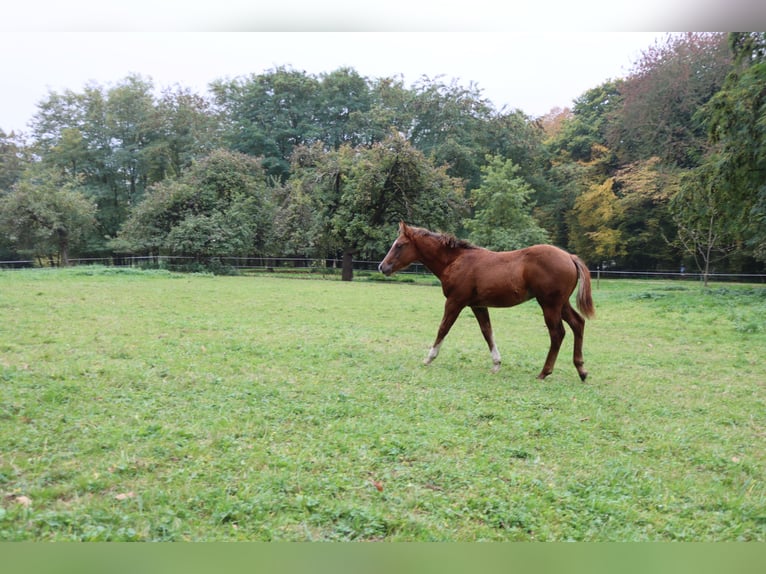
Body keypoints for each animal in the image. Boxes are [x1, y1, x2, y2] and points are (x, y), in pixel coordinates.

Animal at [378, 222, 595, 381]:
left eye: (399, 245)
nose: (382, 266)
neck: (455, 261)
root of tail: (569, 256)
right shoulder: (478, 305)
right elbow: (487, 332)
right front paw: (496, 364)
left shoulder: (455, 302)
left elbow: (443, 328)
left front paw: (428, 358)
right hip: (562, 304)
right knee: (578, 323)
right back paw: (581, 370)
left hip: (549, 304)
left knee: (557, 333)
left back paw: (544, 372)